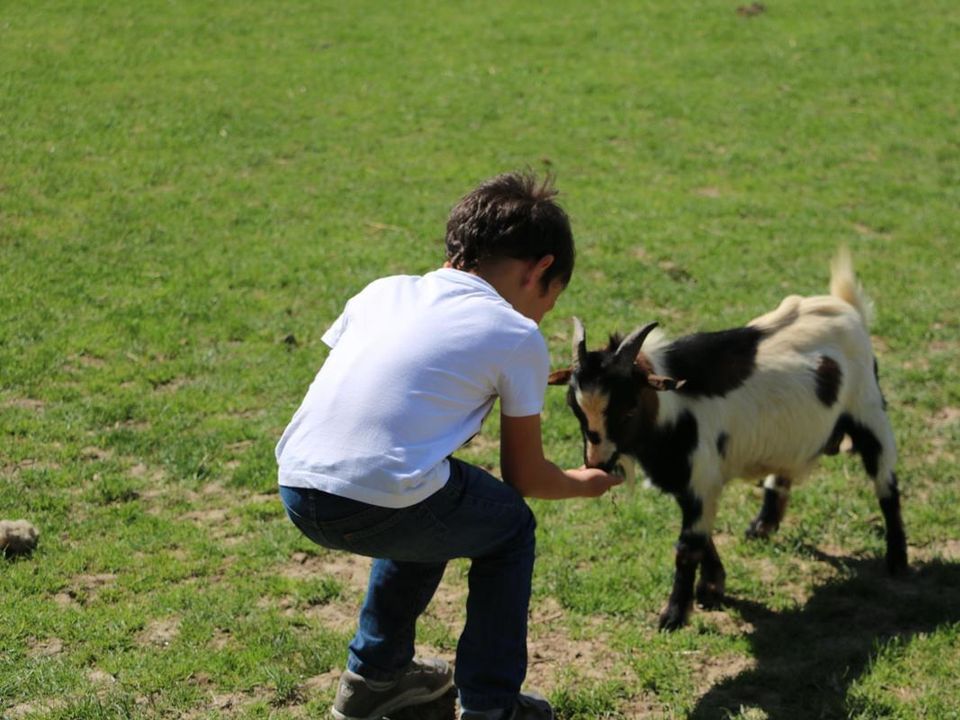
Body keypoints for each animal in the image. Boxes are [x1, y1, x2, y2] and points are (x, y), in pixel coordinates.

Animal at [548, 249, 908, 632]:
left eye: (628, 408)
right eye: (574, 407)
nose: (596, 462)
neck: (672, 410)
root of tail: (847, 307)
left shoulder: (699, 477)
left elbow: (688, 547)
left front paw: (674, 615)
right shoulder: (688, 482)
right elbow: (703, 536)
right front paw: (712, 587)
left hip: (869, 411)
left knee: (886, 483)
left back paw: (897, 560)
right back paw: (763, 526)